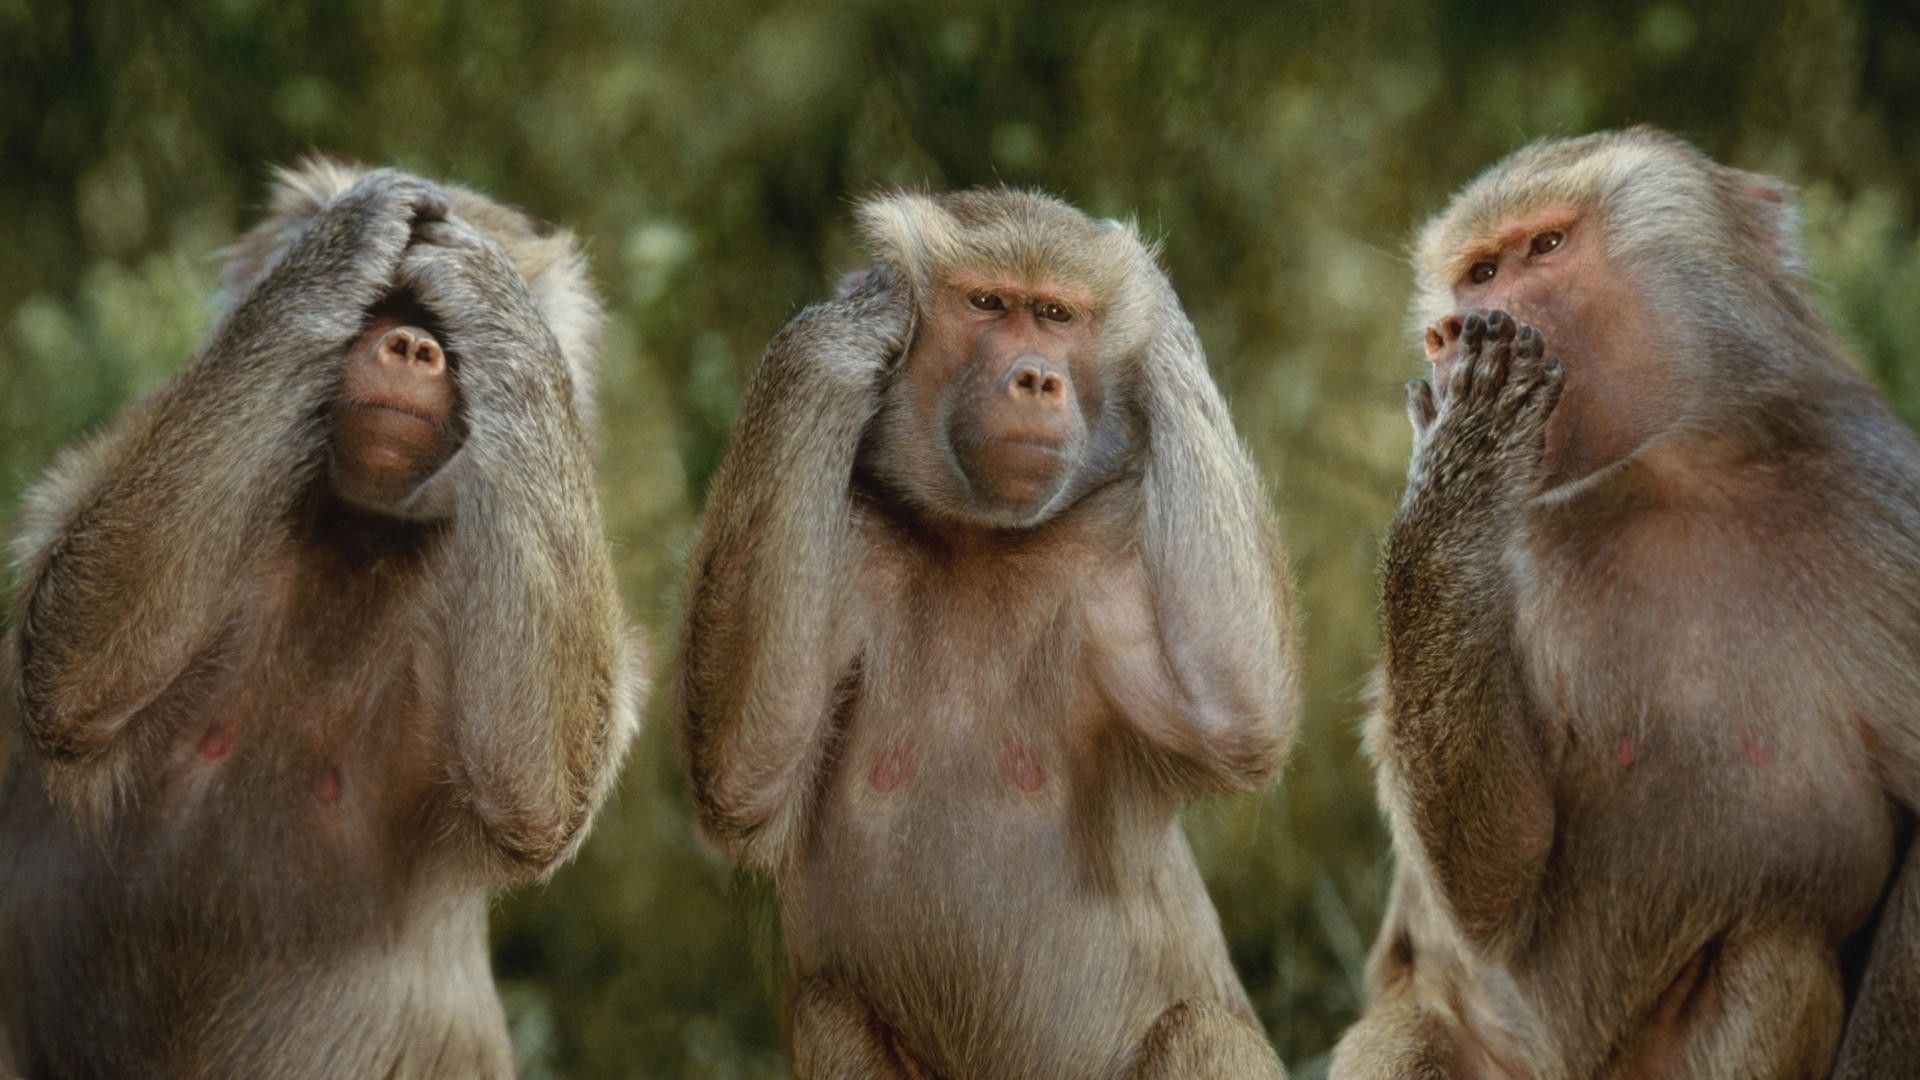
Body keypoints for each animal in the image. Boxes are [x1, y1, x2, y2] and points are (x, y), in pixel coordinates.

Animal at [0, 160, 643, 1077]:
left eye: (441, 326)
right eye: (383, 306)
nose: (412, 347)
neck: (353, 533)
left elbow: (537, 791)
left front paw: (488, 283)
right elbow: (72, 669)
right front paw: (350, 234)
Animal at [673, 189, 1300, 1078]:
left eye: (1057, 314)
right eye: (989, 304)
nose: (1035, 377)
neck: (977, 539)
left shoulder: (1108, 555)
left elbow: (1237, 715)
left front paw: (1162, 317)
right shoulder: (850, 541)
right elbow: (742, 776)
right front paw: (851, 322)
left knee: (1203, 1033)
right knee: (830, 1013)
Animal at [1329, 127, 1920, 1078]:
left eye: (1545, 247)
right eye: (1477, 272)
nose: (1447, 331)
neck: (1671, 475)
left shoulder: (1878, 497)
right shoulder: (1517, 546)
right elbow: (1497, 883)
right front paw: (1460, 460)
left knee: (1776, 956)